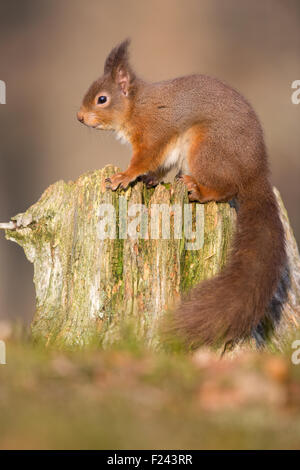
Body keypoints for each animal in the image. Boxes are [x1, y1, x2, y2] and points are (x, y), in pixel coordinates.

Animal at [77, 39, 286, 348]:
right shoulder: (165, 149)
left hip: (206, 148)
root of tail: (256, 174)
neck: (137, 106)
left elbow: (143, 159)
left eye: (101, 99)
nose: (79, 117)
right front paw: (148, 180)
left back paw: (198, 189)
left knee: (227, 190)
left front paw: (123, 177)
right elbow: (157, 166)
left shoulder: (154, 134)